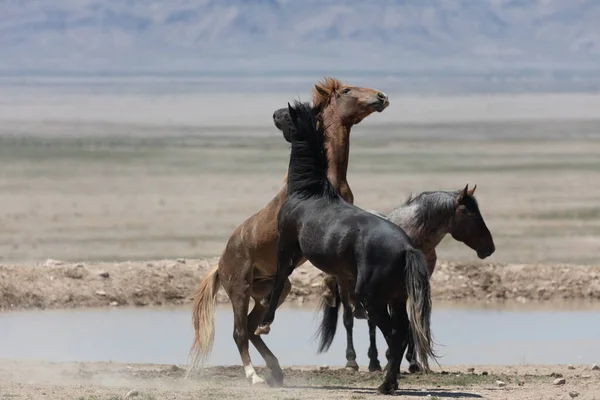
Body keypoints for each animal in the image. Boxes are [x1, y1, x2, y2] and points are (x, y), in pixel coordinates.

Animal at [190, 76, 392, 386]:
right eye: (347, 91)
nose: (381, 96)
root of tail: (220, 263)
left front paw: (356, 307)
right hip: (240, 289)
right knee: (239, 332)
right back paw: (254, 377)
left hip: (276, 287)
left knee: (252, 328)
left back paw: (275, 369)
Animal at [254, 100, 436, 394]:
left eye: (288, 116)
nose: (274, 114)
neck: (308, 192)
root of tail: (406, 249)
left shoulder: (286, 246)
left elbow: (280, 278)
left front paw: (264, 323)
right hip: (397, 299)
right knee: (403, 333)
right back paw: (391, 382)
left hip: (373, 299)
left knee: (394, 336)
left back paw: (385, 385)